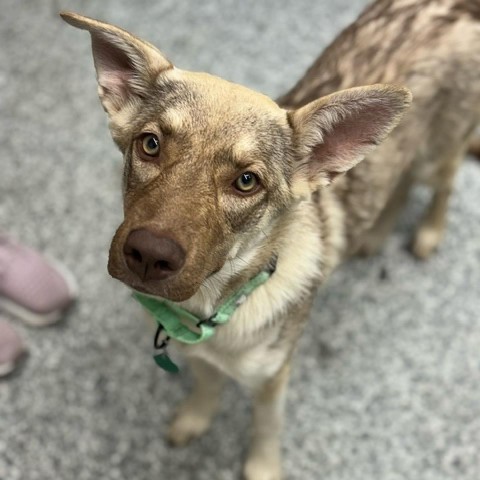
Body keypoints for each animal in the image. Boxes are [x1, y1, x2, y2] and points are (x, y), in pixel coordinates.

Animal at [61, 1, 480, 478]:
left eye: (247, 181)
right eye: (150, 144)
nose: (149, 255)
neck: (214, 304)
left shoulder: (273, 378)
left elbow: (265, 429)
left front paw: (262, 467)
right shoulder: (201, 357)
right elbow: (207, 388)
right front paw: (195, 418)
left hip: (439, 153)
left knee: (442, 185)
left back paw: (428, 232)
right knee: (402, 181)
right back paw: (375, 233)